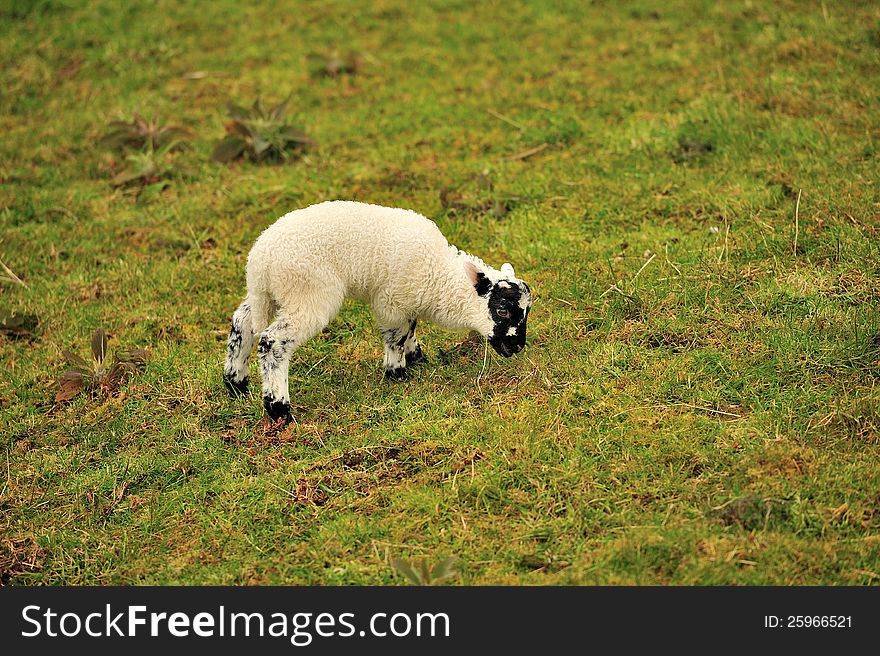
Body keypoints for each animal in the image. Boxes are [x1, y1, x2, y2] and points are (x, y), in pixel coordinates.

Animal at [223, 200, 532, 422]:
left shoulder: (407, 300)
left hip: (268, 295)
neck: (438, 276)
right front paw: (398, 373)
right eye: (503, 311)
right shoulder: (392, 301)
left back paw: (236, 383)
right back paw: (278, 408)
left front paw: (416, 357)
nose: (517, 347)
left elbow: (410, 328)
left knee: (242, 322)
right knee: (272, 341)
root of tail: (260, 261)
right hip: (307, 293)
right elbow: (397, 335)